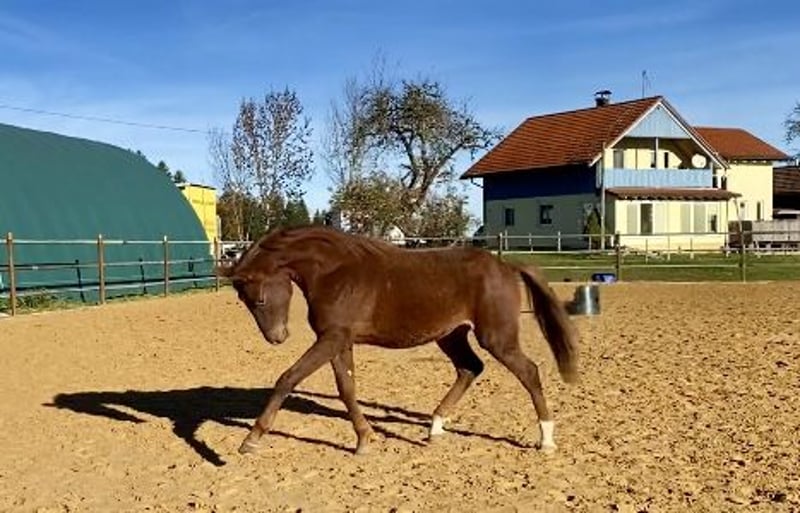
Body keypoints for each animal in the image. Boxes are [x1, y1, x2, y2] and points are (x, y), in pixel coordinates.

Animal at [216, 225, 580, 456]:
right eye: (243, 301)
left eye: (259, 299)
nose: (276, 337)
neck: (334, 273)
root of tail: (505, 265)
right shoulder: (338, 340)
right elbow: (346, 388)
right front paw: (364, 439)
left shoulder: (332, 337)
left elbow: (288, 378)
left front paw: (251, 439)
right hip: (451, 335)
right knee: (470, 368)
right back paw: (435, 426)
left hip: (497, 337)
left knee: (529, 372)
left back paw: (546, 440)